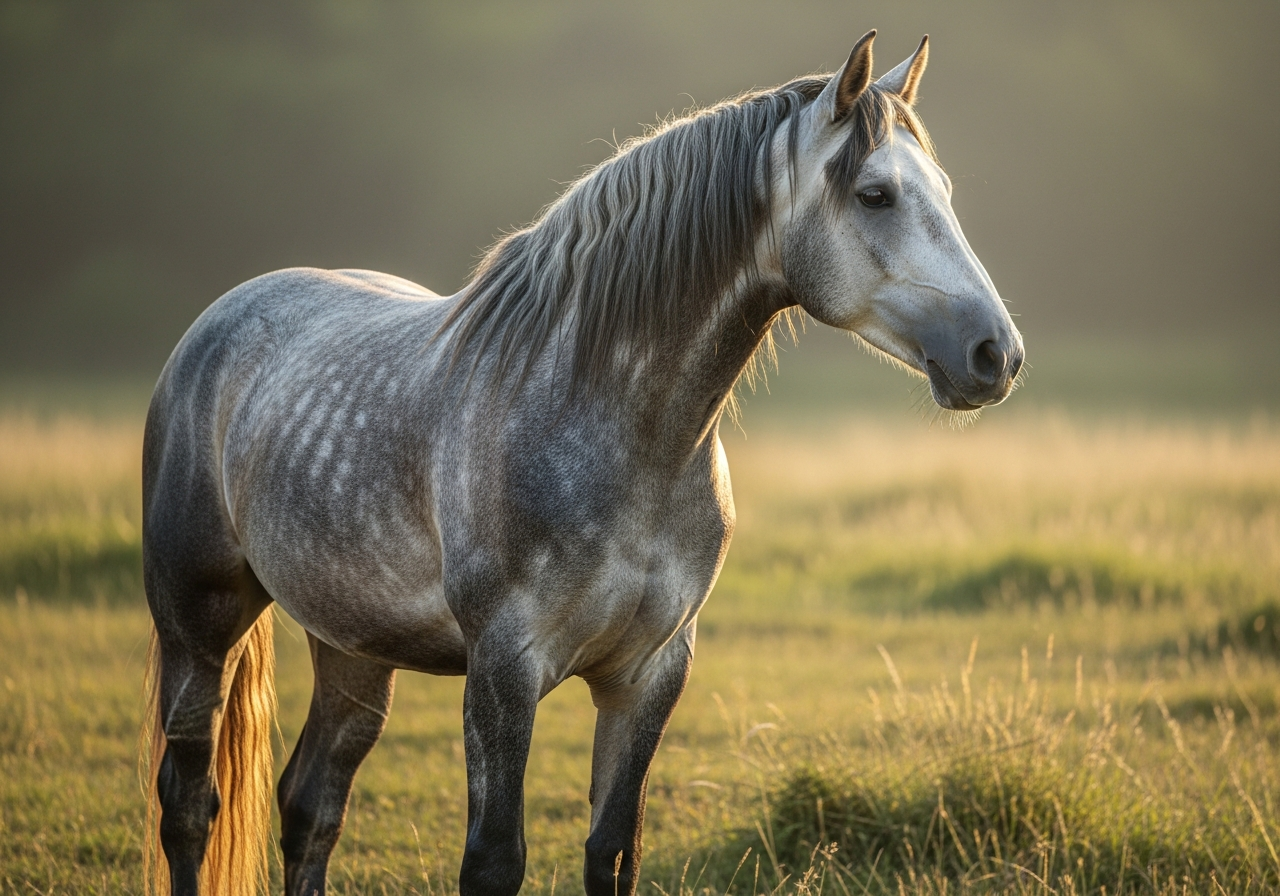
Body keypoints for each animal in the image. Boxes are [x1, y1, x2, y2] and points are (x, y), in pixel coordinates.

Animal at [141, 30, 1023, 896]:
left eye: (942, 188)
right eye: (875, 194)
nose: (997, 354)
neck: (626, 441)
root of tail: (220, 320)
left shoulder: (649, 673)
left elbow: (613, 851)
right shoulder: (503, 672)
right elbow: (495, 860)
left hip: (354, 646)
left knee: (311, 805)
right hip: (199, 624)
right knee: (189, 806)